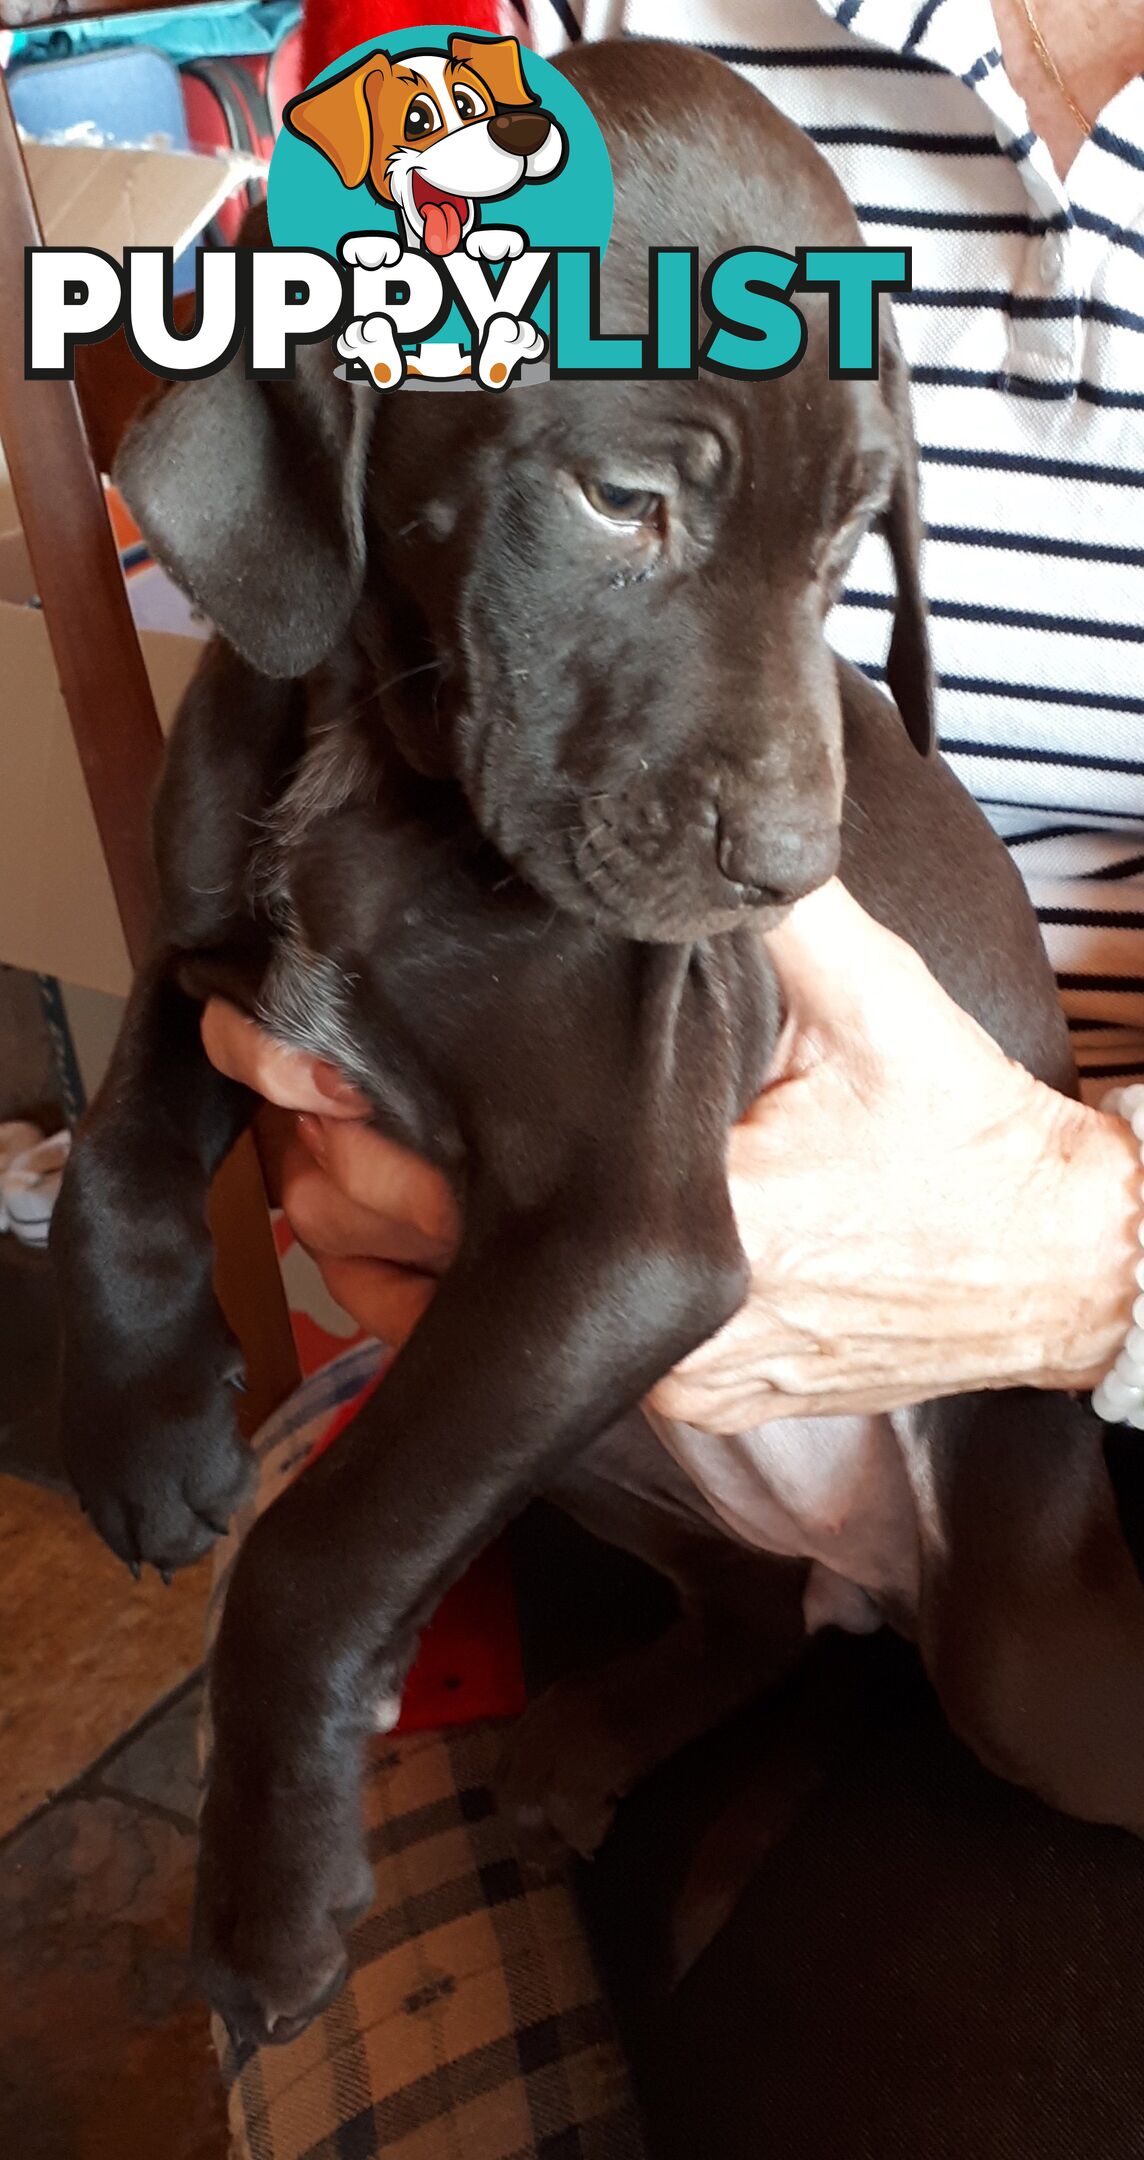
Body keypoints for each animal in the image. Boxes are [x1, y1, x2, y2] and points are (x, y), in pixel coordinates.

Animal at [51, 42, 1144, 2047]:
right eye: (624, 501)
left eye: (848, 545)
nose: (786, 871)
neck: (381, 767)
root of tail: (883, 1599)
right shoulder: (215, 969)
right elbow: (120, 1154)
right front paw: (145, 1431)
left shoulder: (626, 1235)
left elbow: (320, 1553)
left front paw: (263, 1898)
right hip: (585, 1437)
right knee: (749, 1608)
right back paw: (591, 1741)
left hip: (1003, 1635)